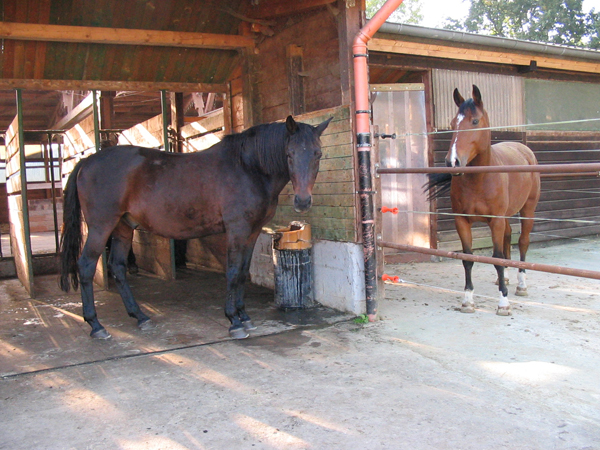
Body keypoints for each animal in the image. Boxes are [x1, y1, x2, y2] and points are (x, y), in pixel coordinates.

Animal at [60, 115, 330, 338]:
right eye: (289, 154)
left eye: (317, 153)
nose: (302, 201)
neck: (247, 167)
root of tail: (87, 162)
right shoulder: (237, 230)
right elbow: (233, 272)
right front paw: (234, 321)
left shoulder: (252, 232)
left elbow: (243, 272)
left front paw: (244, 316)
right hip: (101, 227)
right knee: (86, 266)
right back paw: (96, 325)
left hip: (123, 227)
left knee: (117, 267)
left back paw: (140, 317)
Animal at [426, 85, 540, 316]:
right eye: (452, 123)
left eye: (475, 121)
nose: (452, 162)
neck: (479, 179)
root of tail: (524, 150)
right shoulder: (462, 221)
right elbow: (469, 258)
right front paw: (468, 300)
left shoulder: (495, 220)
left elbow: (496, 257)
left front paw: (503, 303)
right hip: (506, 216)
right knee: (508, 237)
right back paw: (505, 279)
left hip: (527, 210)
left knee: (523, 242)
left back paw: (521, 285)